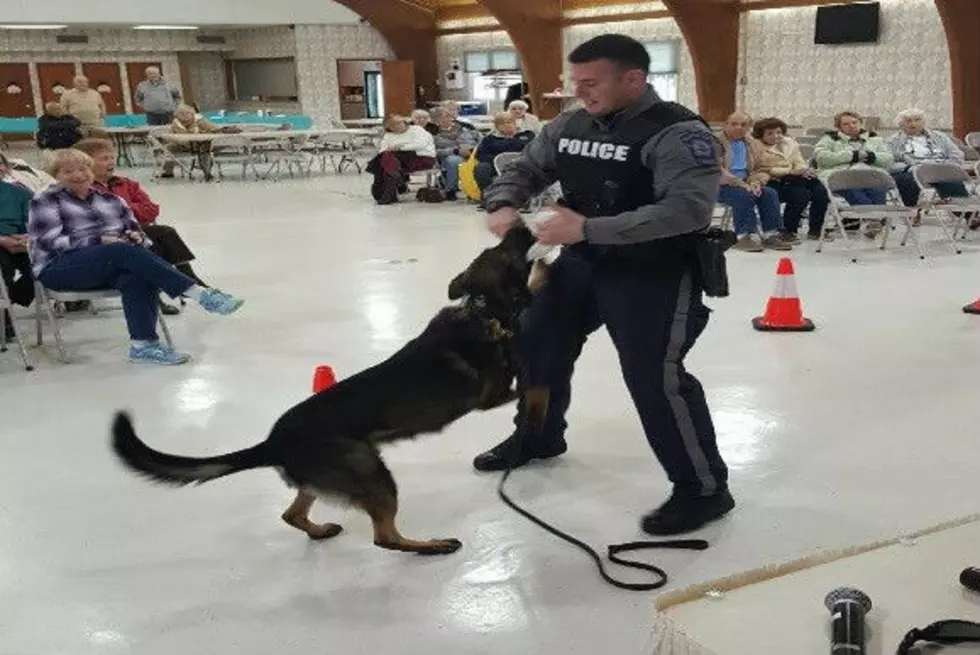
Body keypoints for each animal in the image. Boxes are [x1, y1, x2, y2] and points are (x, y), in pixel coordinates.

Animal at [113, 226, 552, 552]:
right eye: (504, 251)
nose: (518, 224)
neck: (482, 310)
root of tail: (273, 443)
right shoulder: (491, 396)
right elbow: (536, 389)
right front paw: (540, 408)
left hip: (329, 478)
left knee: (292, 515)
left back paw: (320, 531)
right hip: (373, 474)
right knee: (384, 538)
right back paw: (432, 545)